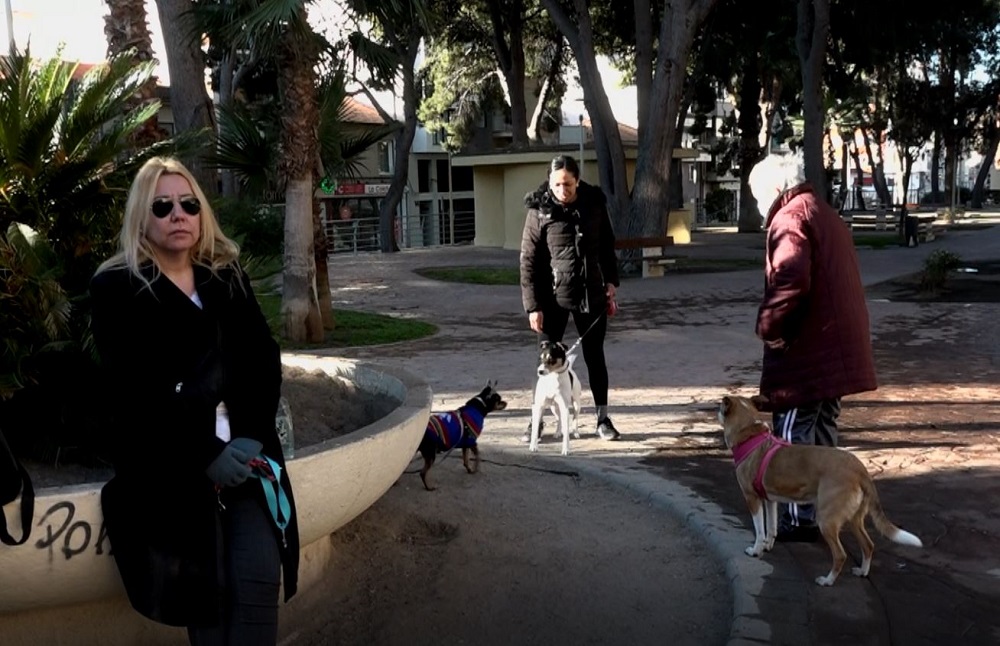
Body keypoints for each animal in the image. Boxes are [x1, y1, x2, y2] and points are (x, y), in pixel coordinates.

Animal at [718, 394, 923, 586]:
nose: (716, 410)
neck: (749, 434)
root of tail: (860, 469)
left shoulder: (752, 498)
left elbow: (760, 529)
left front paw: (755, 550)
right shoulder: (769, 499)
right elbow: (770, 528)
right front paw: (767, 546)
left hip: (826, 519)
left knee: (840, 555)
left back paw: (827, 580)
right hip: (854, 518)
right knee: (868, 545)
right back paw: (862, 571)